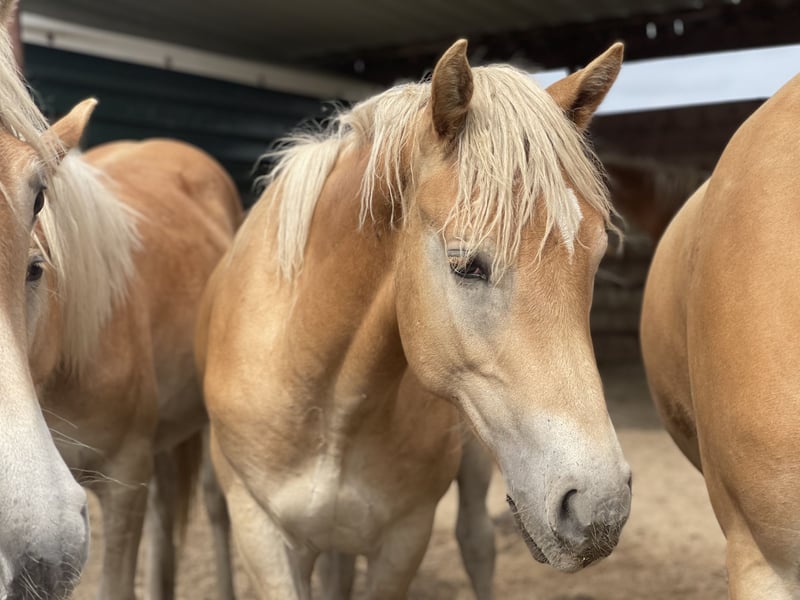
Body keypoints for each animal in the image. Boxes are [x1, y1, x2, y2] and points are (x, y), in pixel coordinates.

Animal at [196, 39, 632, 599]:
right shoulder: (262, 536)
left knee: (476, 542)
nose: (600, 507)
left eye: (595, 258)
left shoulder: (404, 538)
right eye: (465, 264)